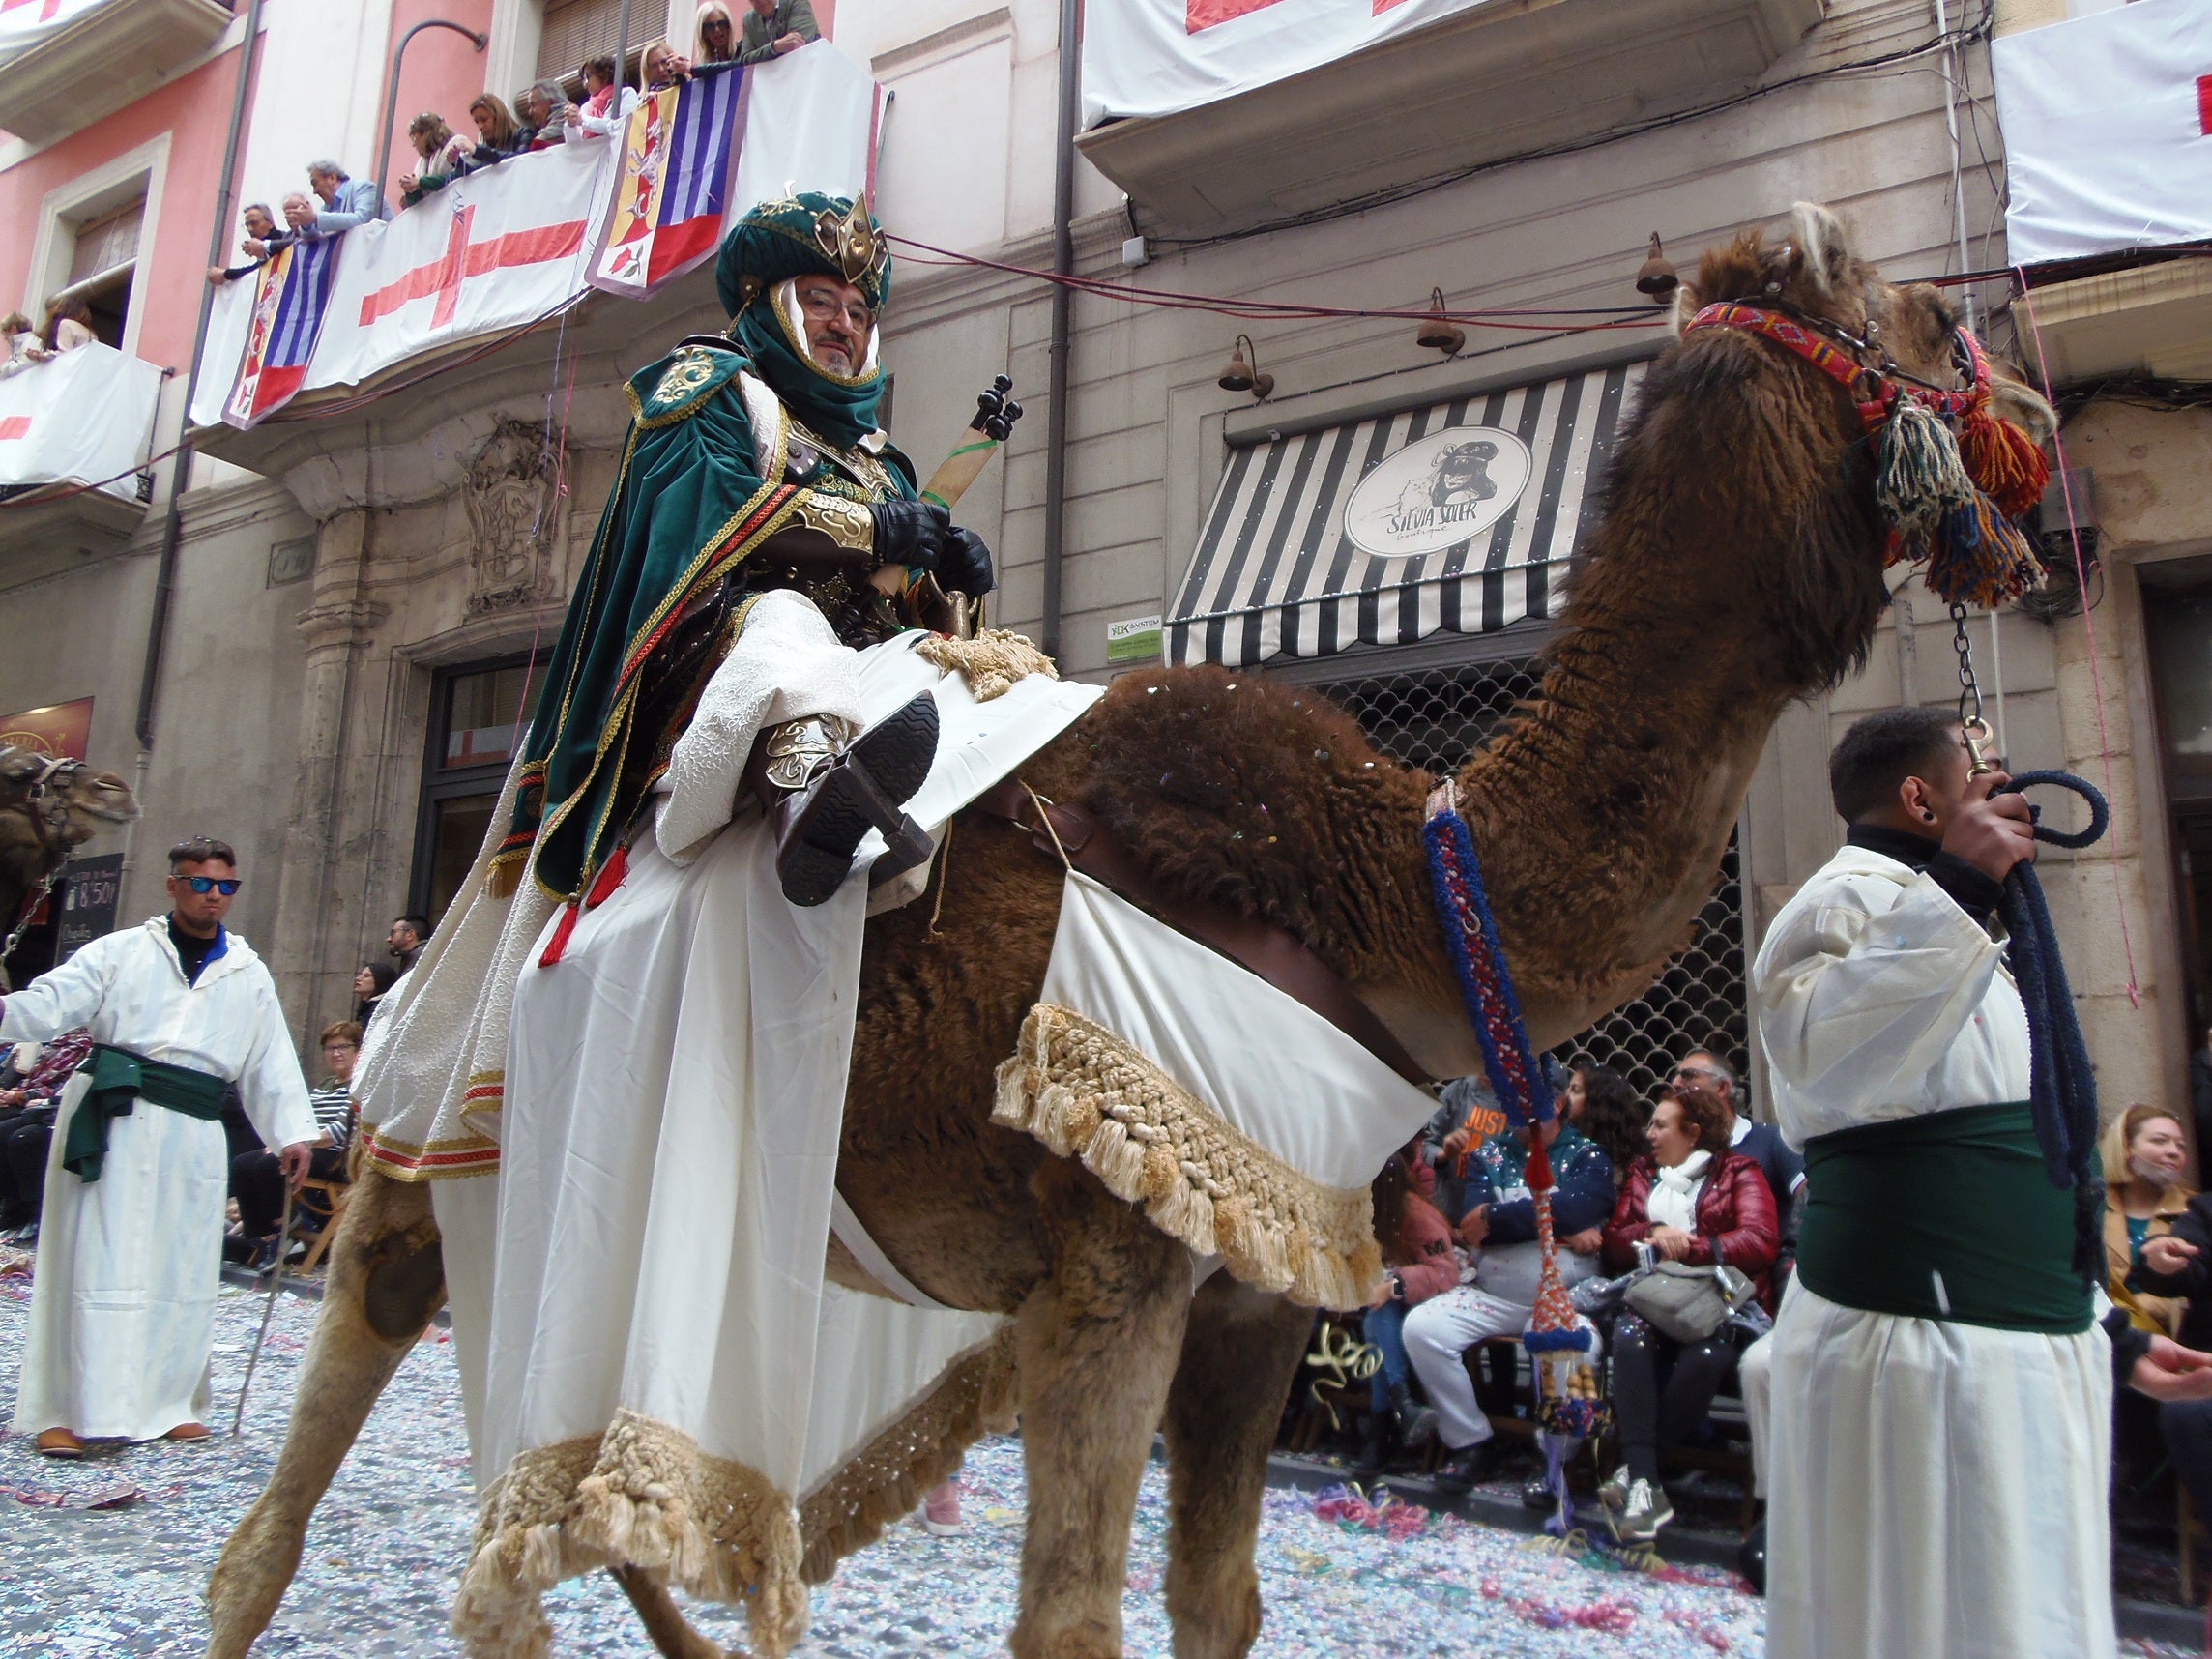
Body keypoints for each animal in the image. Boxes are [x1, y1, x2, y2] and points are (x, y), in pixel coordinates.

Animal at [203, 211, 2052, 1659]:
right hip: (435, 1124)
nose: (2031, 395)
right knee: (327, 1395)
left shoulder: (1257, 1265)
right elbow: (1073, 1619)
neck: (1393, 883)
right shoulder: (1114, 1246)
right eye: (1913, 315)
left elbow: (1217, 1603)